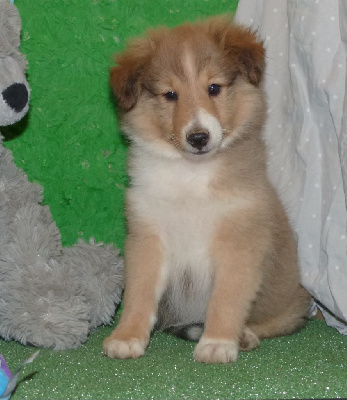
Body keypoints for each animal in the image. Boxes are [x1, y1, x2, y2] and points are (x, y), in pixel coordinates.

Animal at [104, 15, 312, 364]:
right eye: (170, 94)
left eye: (214, 88)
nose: (198, 137)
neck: (191, 175)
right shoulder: (147, 236)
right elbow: (139, 293)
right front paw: (127, 337)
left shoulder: (240, 242)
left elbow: (226, 298)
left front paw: (217, 343)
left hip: (292, 302)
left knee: (277, 322)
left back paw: (245, 336)